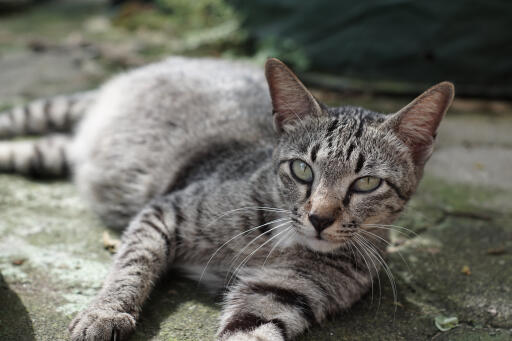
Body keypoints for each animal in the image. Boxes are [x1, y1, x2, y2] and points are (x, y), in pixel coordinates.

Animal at [0, 57, 454, 338]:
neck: (281, 239)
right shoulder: (165, 212)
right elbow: (132, 266)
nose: (320, 218)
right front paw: (104, 312)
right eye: (302, 170)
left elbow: (252, 330)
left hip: (56, 153)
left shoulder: (281, 292)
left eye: (366, 184)